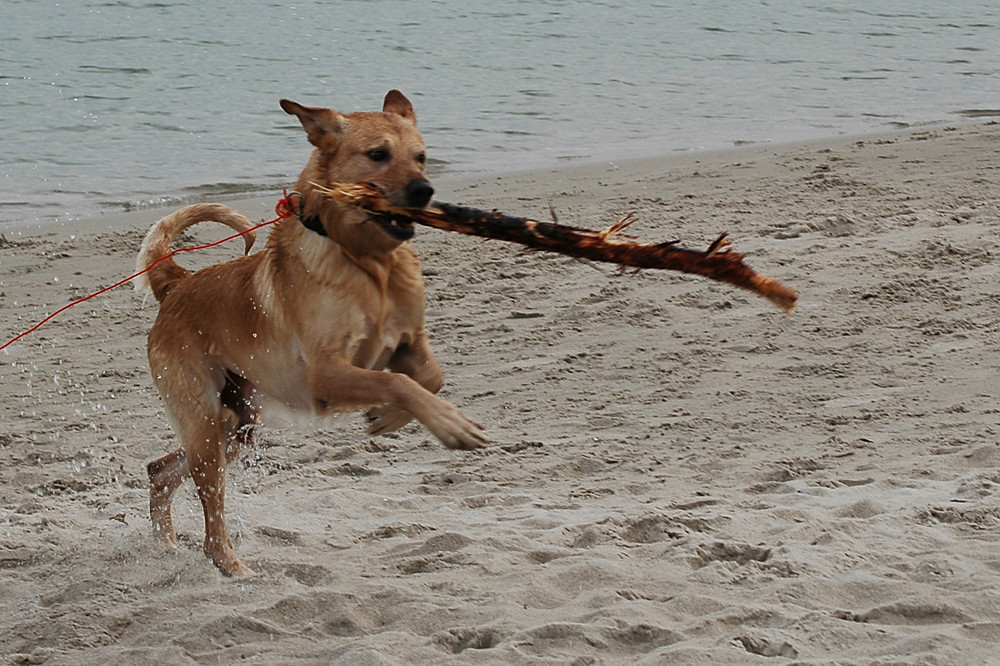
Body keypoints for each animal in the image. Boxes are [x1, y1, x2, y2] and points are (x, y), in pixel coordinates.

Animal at [137, 91, 488, 572]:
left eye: (421, 157)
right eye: (377, 154)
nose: (424, 191)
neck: (370, 265)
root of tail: (177, 284)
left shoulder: (407, 343)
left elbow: (428, 377)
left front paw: (390, 417)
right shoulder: (326, 373)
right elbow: (397, 382)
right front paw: (450, 424)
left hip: (234, 426)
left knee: (160, 470)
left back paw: (166, 545)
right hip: (207, 427)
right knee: (210, 524)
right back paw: (233, 567)